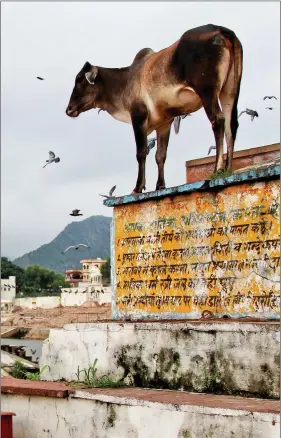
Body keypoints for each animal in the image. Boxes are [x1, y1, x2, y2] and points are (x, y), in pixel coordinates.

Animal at [65, 24, 241, 193]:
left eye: (79, 79)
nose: (69, 109)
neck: (124, 81)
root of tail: (221, 29)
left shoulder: (138, 116)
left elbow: (141, 152)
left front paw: (138, 187)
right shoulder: (164, 123)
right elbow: (160, 155)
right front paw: (160, 186)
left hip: (207, 92)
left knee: (218, 121)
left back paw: (217, 169)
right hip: (229, 90)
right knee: (230, 125)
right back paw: (228, 169)